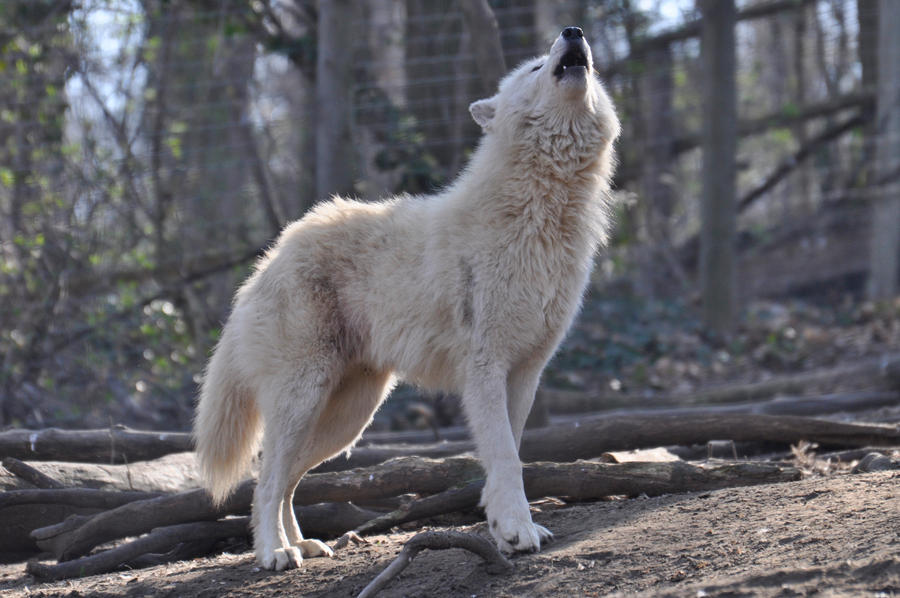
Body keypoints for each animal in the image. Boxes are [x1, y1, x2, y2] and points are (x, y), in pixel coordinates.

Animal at [194, 27, 620, 572]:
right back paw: (274, 553)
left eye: (586, 62)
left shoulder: (526, 374)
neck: (539, 215)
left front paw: (505, 528)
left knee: (284, 480)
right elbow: (506, 456)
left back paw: (302, 544)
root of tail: (265, 264)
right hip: (306, 402)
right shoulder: (485, 370)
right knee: (265, 483)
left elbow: (511, 455)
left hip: (346, 421)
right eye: (533, 67)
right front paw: (518, 531)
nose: (573, 32)